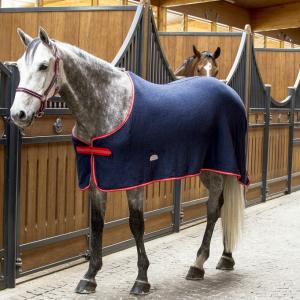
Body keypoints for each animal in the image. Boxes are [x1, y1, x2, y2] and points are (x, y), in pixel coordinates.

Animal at [10, 28, 245, 296]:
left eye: (43, 65)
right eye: (19, 66)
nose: (18, 114)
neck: (109, 106)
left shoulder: (134, 178)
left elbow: (136, 224)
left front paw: (141, 280)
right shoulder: (96, 179)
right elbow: (97, 224)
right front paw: (89, 277)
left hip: (221, 166)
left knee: (214, 208)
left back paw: (201, 263)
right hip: (208, 168)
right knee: (218, 205)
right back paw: (222, 258)